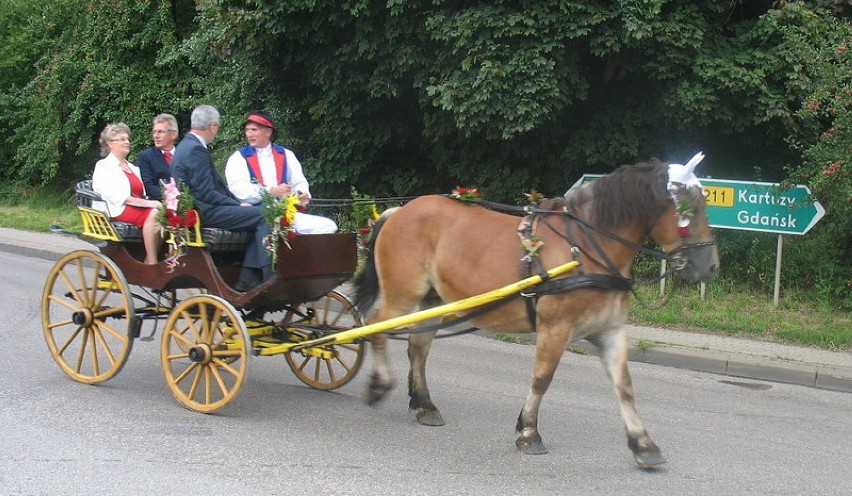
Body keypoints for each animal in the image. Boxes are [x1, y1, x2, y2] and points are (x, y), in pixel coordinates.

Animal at [352, 155, 720, 468]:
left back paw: (424, 404)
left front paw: (643, 444)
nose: (711, 267)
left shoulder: (610, 331)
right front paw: (529, 432)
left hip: (432, 300)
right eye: (690, 208)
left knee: (418, 346)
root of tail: (399, 211)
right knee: (374, 326)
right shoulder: (555, 328)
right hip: (403, 295)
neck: (585, 246)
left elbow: (625, 387)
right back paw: (379, 384)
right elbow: (542, 379)